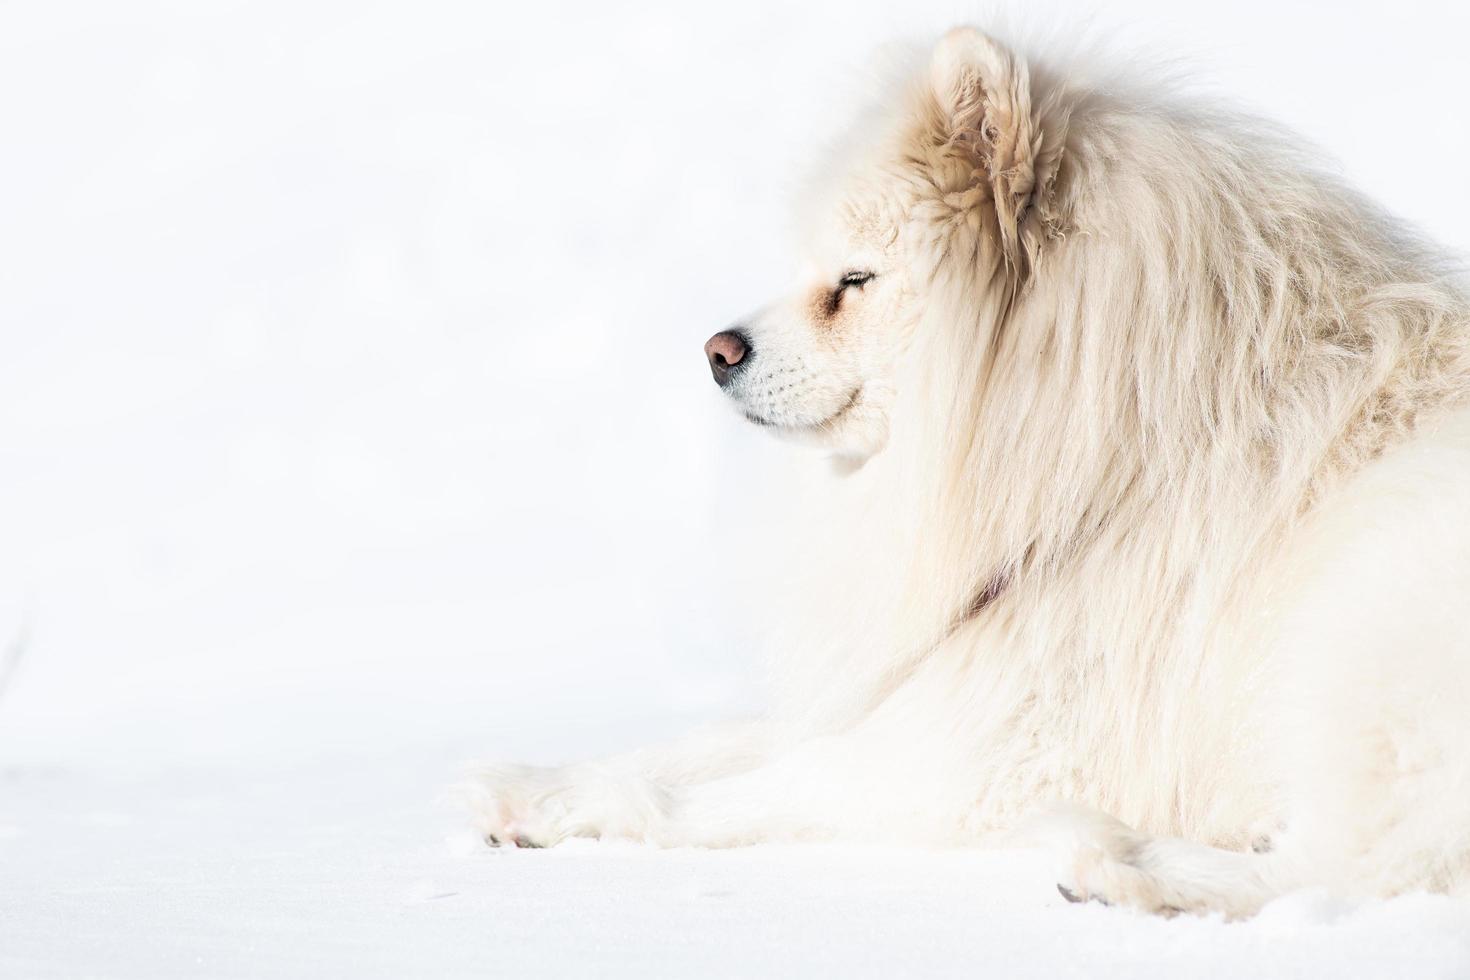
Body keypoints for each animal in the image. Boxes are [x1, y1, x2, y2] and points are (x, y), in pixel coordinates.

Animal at [470, 28, 1470, 922]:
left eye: (857, 280)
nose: (718, 351)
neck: (1122, 457)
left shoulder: (1006, 744)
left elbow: (755, 787)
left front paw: (572, 810)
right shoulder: (944, 678)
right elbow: (718, 741)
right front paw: (527, 780)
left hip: (1366, 630)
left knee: (1366, 862)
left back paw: (1124, 865)